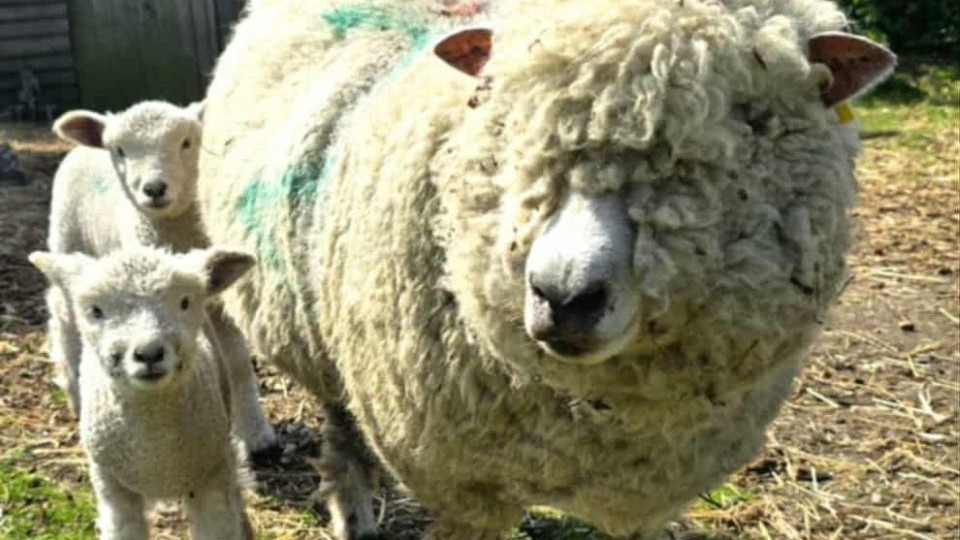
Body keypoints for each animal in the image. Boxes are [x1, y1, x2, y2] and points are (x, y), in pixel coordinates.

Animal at [28, 246, 256, 540]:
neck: (154, 455)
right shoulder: (112, 486)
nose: (149, 353)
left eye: (185, 302)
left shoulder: (211, 476)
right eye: (96, 311)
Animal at [45, 101, 278, 459]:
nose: (154, 189)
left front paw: (254, 432)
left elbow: (237, 359)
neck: (178, 235)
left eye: (187, 142)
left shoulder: (217, 295)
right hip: (66, 239)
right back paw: (75, 392)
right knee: (63, 319)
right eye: (120, 150)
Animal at [195, 0, 895, 538]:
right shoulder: (464, 489)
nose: (563, 296)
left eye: (747, 122)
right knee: (342, 430)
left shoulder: (648, 493)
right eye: (499, 111)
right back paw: (354, 513)